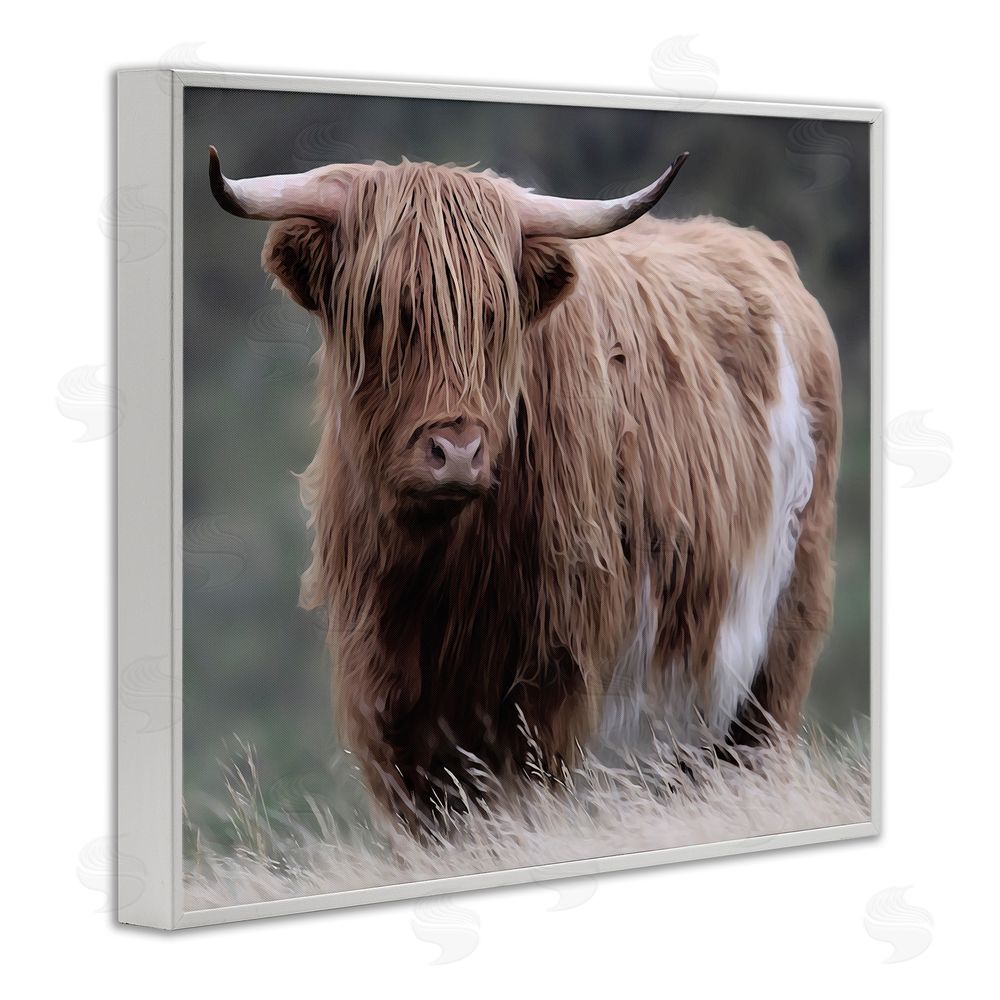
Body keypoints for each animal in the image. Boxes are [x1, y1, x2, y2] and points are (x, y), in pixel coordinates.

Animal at [208, 145, 842, 828]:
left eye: (494, 315)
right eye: (380, 312)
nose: (457, 452)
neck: (439, 579)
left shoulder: (550, 691)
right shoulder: (387, 708)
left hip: (773, 649)